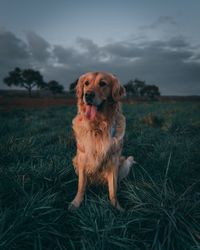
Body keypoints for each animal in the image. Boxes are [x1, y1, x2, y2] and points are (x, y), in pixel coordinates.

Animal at [69, 72, 134, 211]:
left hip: (125, 162)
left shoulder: (113, 161)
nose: (87, 95)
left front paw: (117, 207)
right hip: (75, 160)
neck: (98, 126)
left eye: (103, 83)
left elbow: (113, 189)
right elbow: (81, 186)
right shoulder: (82, 159)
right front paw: (76, 203)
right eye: (86, 83)